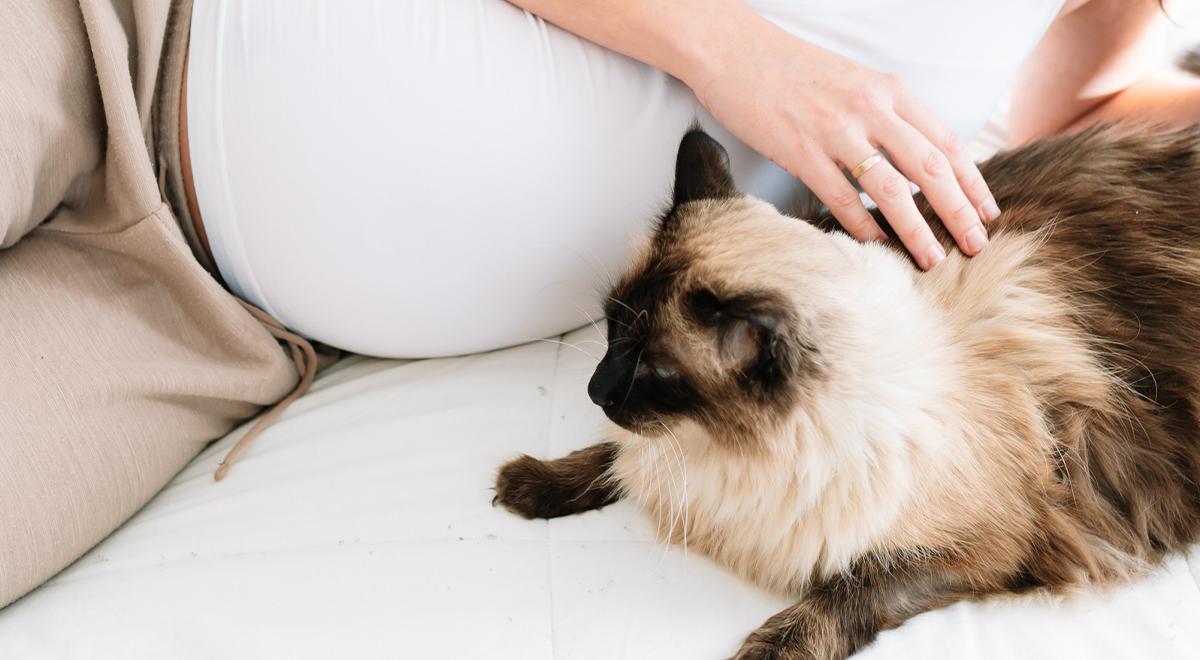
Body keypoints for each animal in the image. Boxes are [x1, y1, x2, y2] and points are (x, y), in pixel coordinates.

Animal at [489, 125, 1200, 660]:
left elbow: (852, 589)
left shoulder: (989, 548)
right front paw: (531, 484)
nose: (594, 388)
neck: (730, 452)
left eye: (653, 373)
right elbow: (613, 457)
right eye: (611, 330)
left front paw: (774, 649)